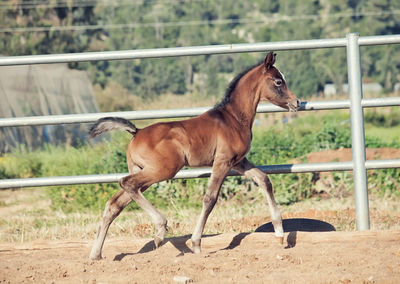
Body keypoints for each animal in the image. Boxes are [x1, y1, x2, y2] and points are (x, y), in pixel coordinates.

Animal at [88, 51, 300, 260]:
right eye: (278, 81)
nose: (296, 102)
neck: (233, 118)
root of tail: (136, 132)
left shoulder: (239, 162)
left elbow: (264, 179)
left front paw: (280, 234)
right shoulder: (223, 161)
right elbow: (210, 198)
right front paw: (196, 243)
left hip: (145, 172)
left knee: (116, 202)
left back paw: (96, 254)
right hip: (163, 170)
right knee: (127, 183)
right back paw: (160, 230)